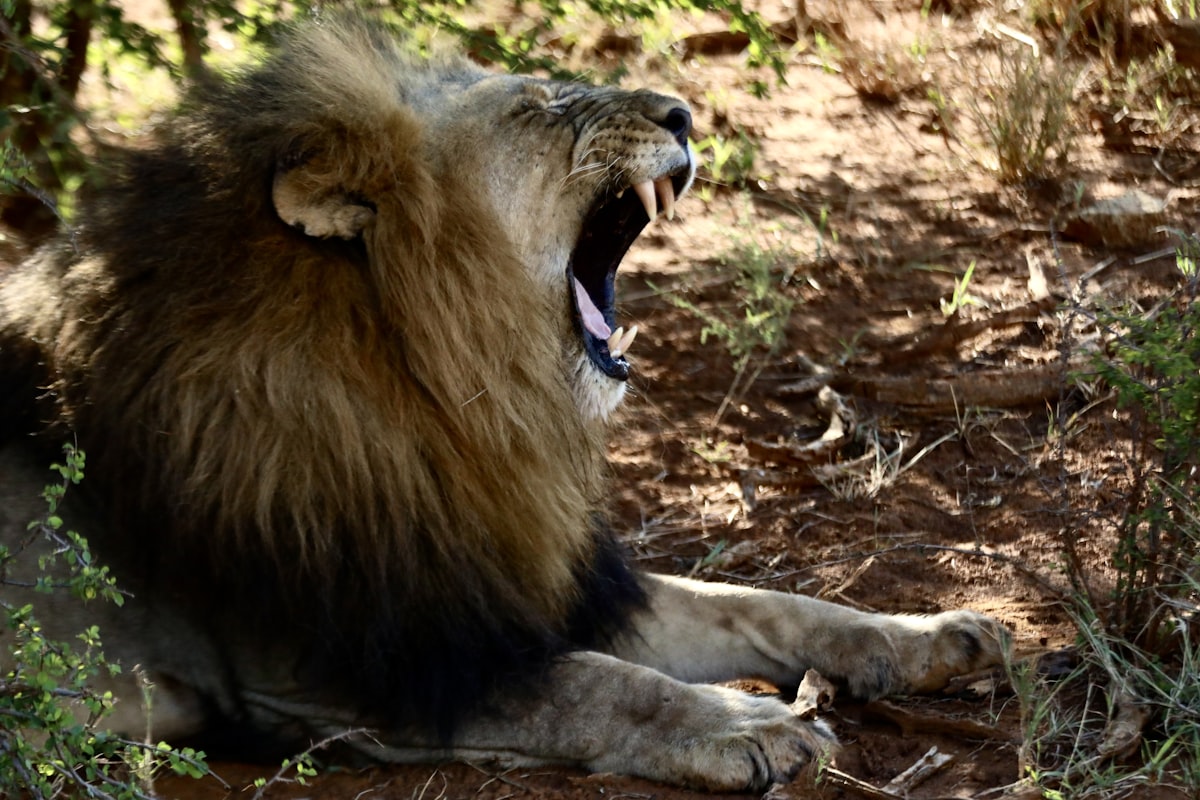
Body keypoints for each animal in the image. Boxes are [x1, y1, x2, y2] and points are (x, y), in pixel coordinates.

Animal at [0, 16, 1006, 792]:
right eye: (537, 108)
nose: (684, 113)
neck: (452, 401)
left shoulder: (517, 577)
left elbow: (759, 604)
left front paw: (932, 635)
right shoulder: (350, 672)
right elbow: (599, 685)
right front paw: (748, 727)